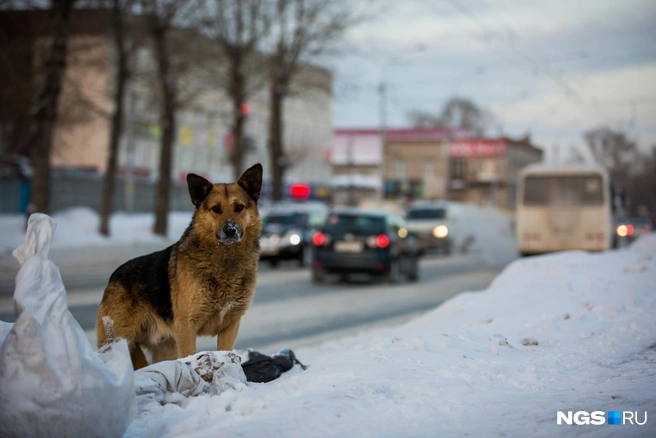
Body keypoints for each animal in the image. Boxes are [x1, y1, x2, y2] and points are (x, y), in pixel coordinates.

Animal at [96, 163, 262, 368]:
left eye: (239, 207)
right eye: (216, 209)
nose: (230, 230)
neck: (225, 261)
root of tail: (113, 277)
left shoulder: (230, 326)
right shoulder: (186, 327)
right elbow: (190, 356)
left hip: (165, 350)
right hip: (119, 341)